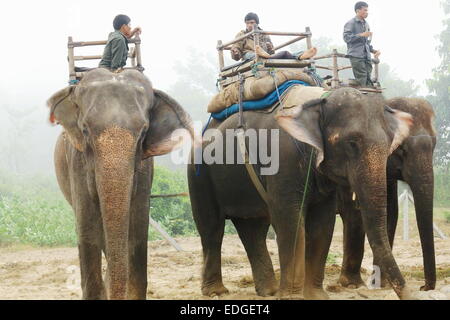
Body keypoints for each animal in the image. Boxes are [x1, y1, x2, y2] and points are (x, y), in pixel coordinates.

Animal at [46, 68, 196, 300]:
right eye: (85, 130)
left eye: (143, 132)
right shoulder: (77, 163)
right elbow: (87, 228)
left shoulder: (144, 168)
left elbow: (137, 228)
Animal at [186, 87, 414, 300]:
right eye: (351, 143)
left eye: (390, 145)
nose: (410, 295)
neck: (319, 100)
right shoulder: (282, 160)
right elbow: (290, 220)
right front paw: (291, 297)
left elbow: (322, 223)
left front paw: (316, 296)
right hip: (198, 174)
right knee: (212, 228)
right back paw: (216, 292)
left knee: (253, 229)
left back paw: (268, 291)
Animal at [338, 97, 436, 290]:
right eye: (402, 150)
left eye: (434, 146)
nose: (423, 287)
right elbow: (355, 213)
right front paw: (352, 285)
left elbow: (390, 213)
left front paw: (382, 285)